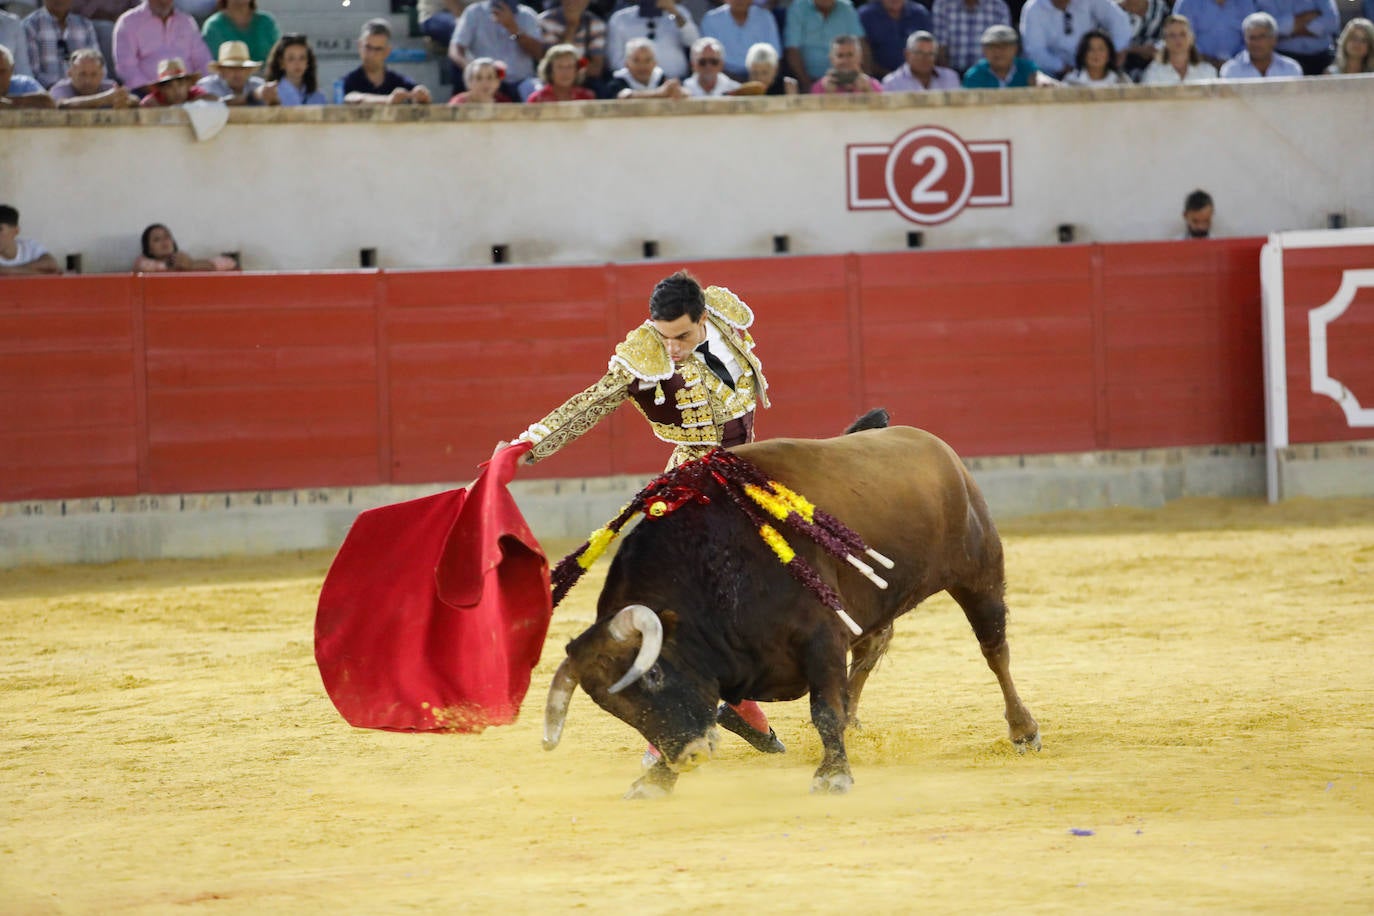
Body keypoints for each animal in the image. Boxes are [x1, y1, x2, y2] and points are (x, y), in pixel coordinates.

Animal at [541, 411, 1033, 796]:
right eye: (610, 705)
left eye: (656, 674)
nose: (690, 756)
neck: (716, 561)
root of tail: (934, 446)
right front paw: (657, 779)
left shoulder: (821, 637)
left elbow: (824, 709)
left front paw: (833, 775)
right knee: (870, 653)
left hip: (980, 573)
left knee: (995, 651)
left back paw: (1023, 730)